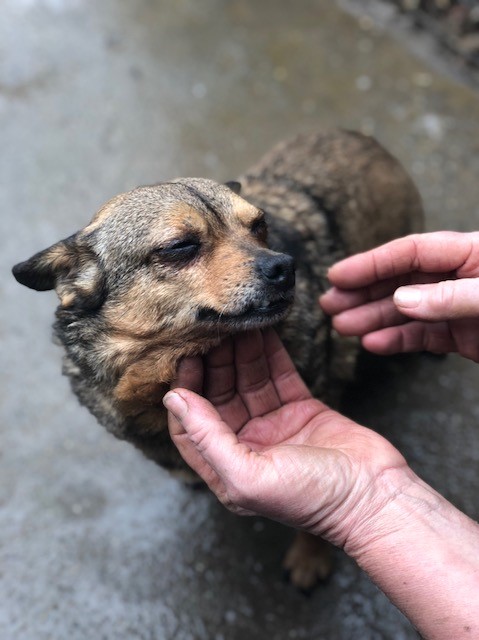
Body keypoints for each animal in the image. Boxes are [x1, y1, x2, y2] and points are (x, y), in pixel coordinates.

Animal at [12, 130, 424, 592]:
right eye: (180, 246)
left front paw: (309, 556)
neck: (159, 374)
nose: (285, 266)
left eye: (259, 226)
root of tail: (356, 134)